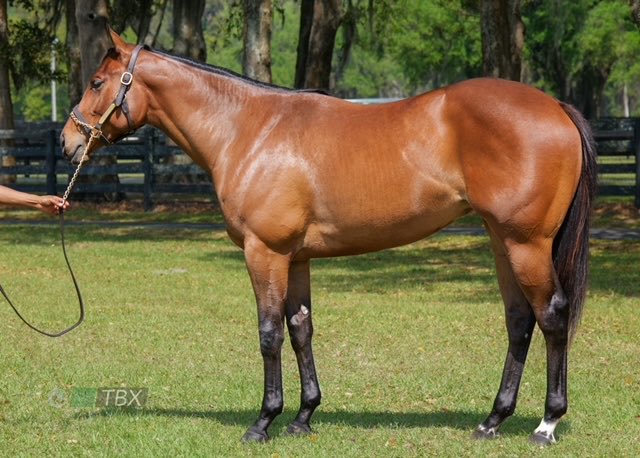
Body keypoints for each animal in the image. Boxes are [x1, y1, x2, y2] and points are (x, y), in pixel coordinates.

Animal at [60, 29, 597, 446]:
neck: (250, 130)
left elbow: (270, 333)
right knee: (519, 321)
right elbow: (301, 329)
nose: (69, 141)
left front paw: (263, 422)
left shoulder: (265, 253)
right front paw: (303, 417)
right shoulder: (295, 257)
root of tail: (555, 106)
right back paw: (492, 421)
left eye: (96, 82)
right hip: (502, 242)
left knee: (552, 316)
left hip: (526, 244)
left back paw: (546, 424)